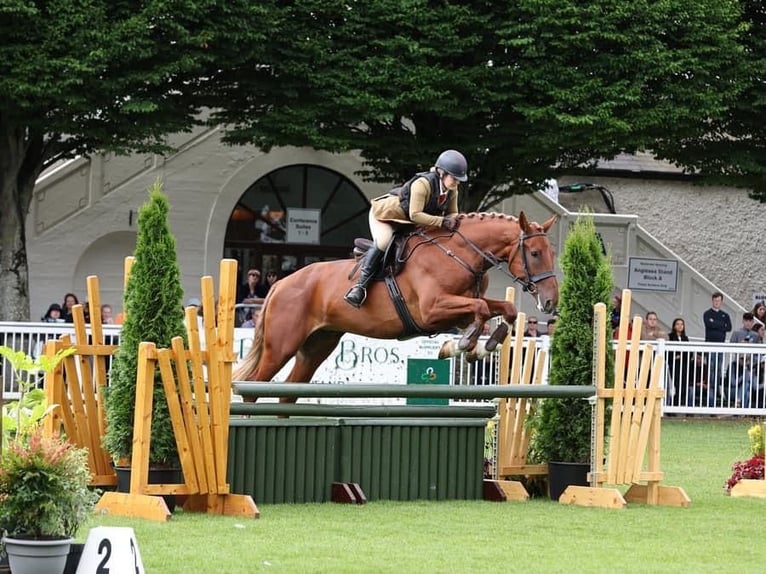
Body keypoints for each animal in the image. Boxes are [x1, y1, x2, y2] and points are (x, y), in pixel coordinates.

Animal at [234, 209, 560, 390]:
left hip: (316, 346)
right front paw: (461, 345)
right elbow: (481, 310)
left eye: (552, 253)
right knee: (254, 384)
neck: (460, 254)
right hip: (281, 346)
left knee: (289, 389)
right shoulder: (432, 310)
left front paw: (480, 346)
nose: (550, 302)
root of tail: (281, 284)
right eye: (534, 254)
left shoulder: (459, 309)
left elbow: (503, 309)